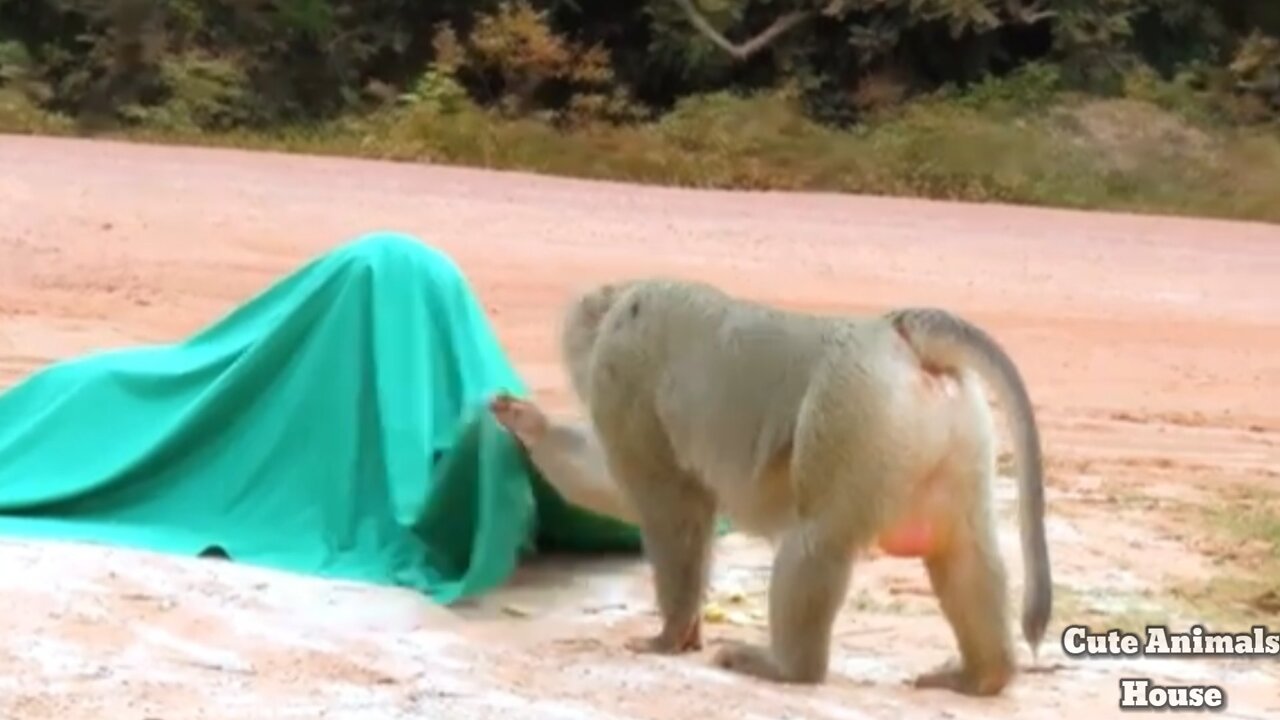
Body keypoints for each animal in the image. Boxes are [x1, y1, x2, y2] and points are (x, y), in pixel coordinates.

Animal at [555, 277, 1052, 697]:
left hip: (854, 406)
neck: (622, 304)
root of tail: (896, 331)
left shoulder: (622, 379)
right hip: (952, 427)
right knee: (964, 551)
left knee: (816, 538)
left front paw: (671, 635)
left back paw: (789, 670)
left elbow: (670, 508)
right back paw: (983, 676)